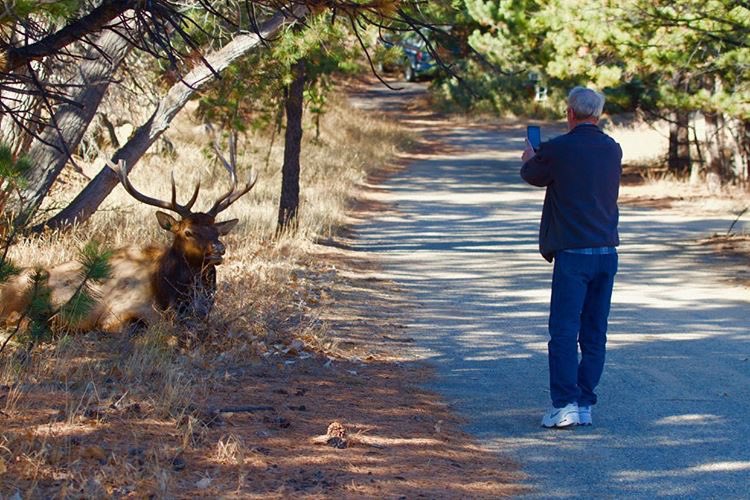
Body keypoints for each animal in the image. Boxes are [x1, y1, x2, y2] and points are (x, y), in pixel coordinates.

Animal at [0, 135, 256, 334]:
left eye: (217, 231)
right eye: (188, 232)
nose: (219, 249)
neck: (167, 294)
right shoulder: (115, 314)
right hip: (27, 284)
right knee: (16, 320)